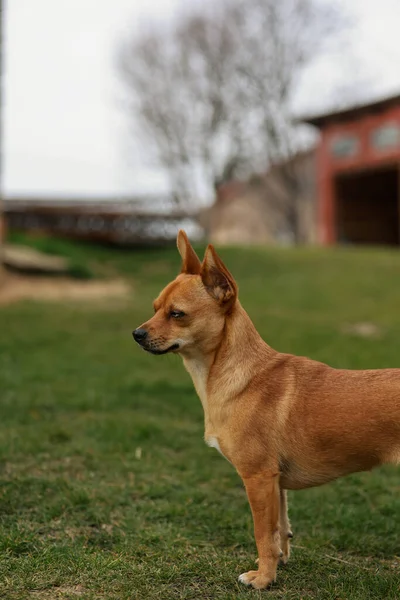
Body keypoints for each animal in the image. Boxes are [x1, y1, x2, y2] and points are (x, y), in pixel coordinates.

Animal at [133, 231, 398, 592]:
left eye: (177, 314)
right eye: (155, 309)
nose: (137, 334)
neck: (239, 375)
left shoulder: (258, 478)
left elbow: (262, 534)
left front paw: (262, 578)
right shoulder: (277, 484)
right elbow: (279, 530)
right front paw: (278, 563)